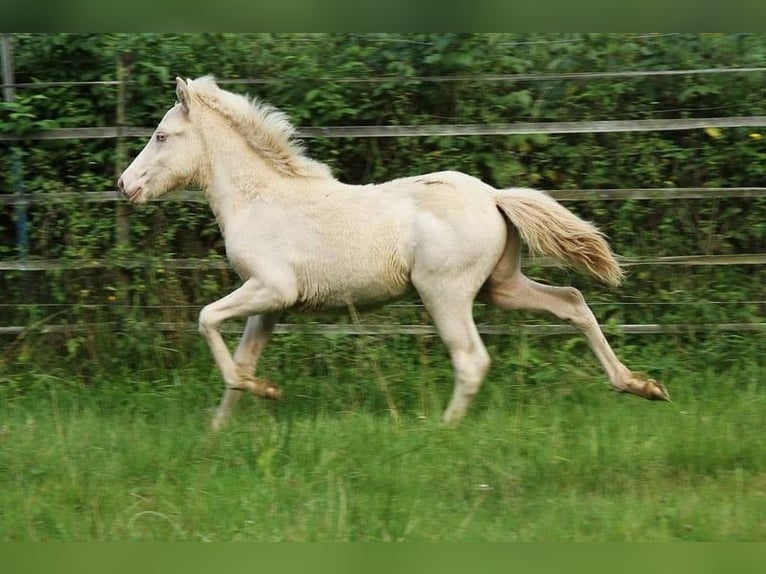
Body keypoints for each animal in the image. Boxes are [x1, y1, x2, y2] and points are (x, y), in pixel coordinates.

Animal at [117, 75, 668, 428]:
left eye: (161, 135)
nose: (125, 185)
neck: (260, 199)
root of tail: (494, 196)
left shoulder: (271, 287)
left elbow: (208, 320)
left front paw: (266, 392)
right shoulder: (271, 304)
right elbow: (241, 362)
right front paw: (220, 429)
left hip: (444, 292)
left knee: (472, 359)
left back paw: (442, 430)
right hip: (501, 287)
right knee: (572, 301)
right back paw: (640, 386)